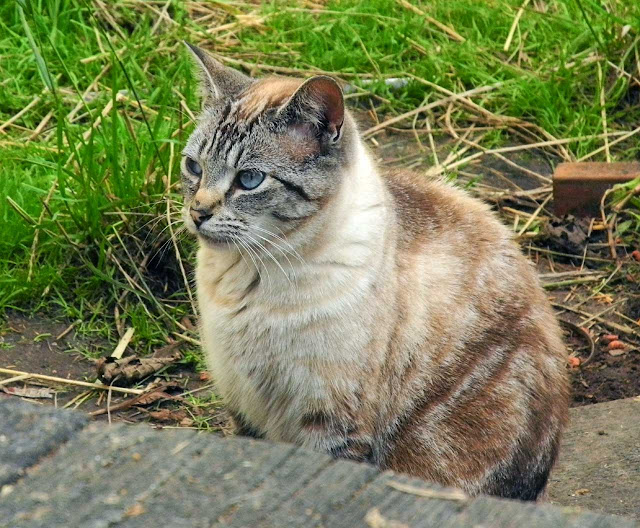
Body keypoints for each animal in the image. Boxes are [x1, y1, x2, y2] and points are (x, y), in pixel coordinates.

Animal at [181, 43, 568, 502]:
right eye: (193, 167)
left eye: (250, 180)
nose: (198, 213)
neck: (248, 278)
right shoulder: (244, 405)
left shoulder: (332, 420)